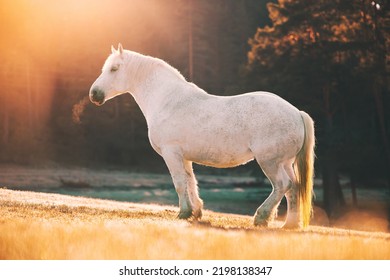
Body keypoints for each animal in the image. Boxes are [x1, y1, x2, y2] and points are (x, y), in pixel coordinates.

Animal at [90, 43, 316, 228]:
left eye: (114, 69)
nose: (94, 94)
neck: (167, 99)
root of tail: (296, 112)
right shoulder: (184, 157)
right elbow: (191, 182)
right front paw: (196, 212)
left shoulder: (171, 153)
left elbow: (180, 183)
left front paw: (184, 213)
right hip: (284, 162)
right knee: (293, 188)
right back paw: (290, 225)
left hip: (269, 161)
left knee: (282, 185)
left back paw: (261, 217)